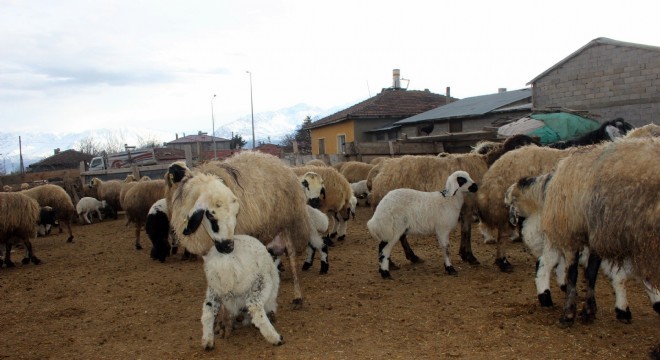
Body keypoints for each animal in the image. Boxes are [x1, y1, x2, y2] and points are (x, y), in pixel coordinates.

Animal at [164, 152, 310, 306]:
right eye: (210, 215)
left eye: (236, 213)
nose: (228, 246)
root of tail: (276, 160)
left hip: (289, 224)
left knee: (292, 258)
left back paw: (297, 296)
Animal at [536, 138, 660, 326]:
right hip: (576, 228)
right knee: (574, 271)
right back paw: (571, 311)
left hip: (592, 233)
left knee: (586, 271)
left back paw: (586, 309)